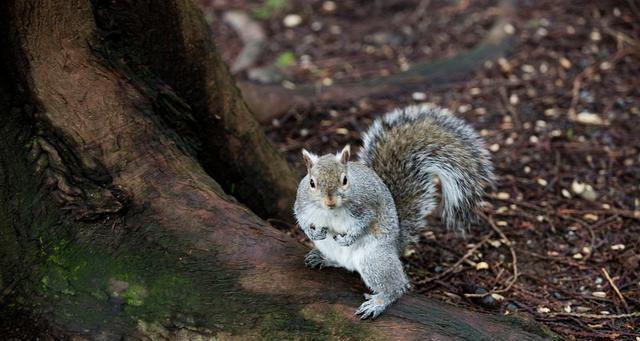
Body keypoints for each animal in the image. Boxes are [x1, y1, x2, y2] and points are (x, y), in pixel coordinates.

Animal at [294, 103, 496, 318]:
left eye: (345, 180)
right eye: (312, 183)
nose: (330, 202)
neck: (330, 212)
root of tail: (396, 244)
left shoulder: (366, 206)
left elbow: (366, 222)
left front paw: (349, 237)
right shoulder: (301, 204)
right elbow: (300, 218)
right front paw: (312, 233)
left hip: (374, 259)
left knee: (398, 286)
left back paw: (379, 302)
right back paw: (323, 258)